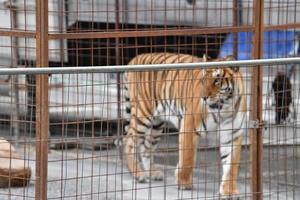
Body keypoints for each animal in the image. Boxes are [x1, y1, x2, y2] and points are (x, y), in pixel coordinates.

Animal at [122, 52, 246, 197]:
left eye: (217, 81)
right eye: (203, 80)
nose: (203, 97)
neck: (224, 108)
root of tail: (134, 59)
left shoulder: (233, 134)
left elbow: (232, 164)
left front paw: (229, 191)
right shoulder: (189, 126)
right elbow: (187, 157)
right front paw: (184, 182)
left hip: (157, 124)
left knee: (146, 148)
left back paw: (153, 173)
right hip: (143, 114)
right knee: (128, 141)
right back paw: (138, 174)